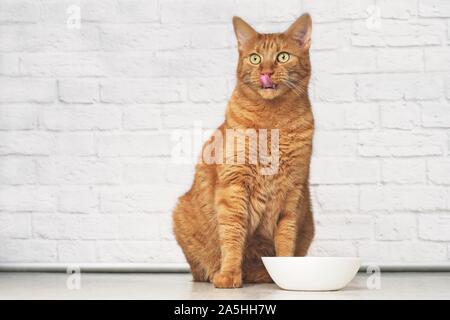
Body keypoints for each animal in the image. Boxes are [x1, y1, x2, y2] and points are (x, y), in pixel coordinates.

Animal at [171, 13, 314, 288]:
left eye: (282, 56)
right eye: (255, 58)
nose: (266, 71)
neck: (273, 124)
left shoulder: (293, 191)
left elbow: (286, 237)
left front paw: (286, 273)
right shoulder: (234, 185)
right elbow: (232, 234)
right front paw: (228, 274)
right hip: (180, 213)